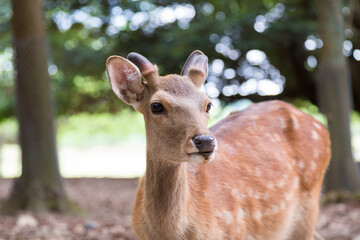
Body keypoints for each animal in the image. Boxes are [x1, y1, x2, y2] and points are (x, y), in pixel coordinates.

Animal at [105, 49, 330, 239]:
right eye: (156, 106)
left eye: (208, 104)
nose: (205, 141)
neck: (170, 234)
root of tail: (322, 127)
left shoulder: (236, 232)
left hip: (310, 207)